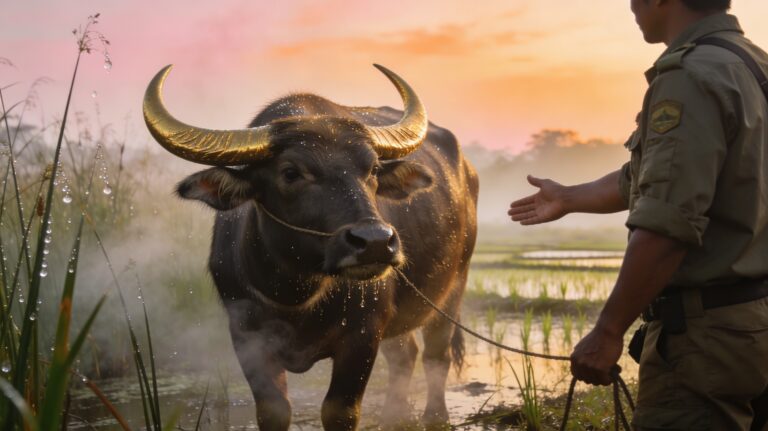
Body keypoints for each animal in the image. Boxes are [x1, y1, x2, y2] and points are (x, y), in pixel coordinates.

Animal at [143, 64, 478, 430]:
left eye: (373, 169)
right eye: (290, 172)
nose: (375, 242)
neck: (296, 291)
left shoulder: (363, 334)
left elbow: (339, 411)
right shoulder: (247, 337)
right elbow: (274, 410)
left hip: (454, 286)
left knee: (436, 357)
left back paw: (435, 417)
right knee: (405, 357)